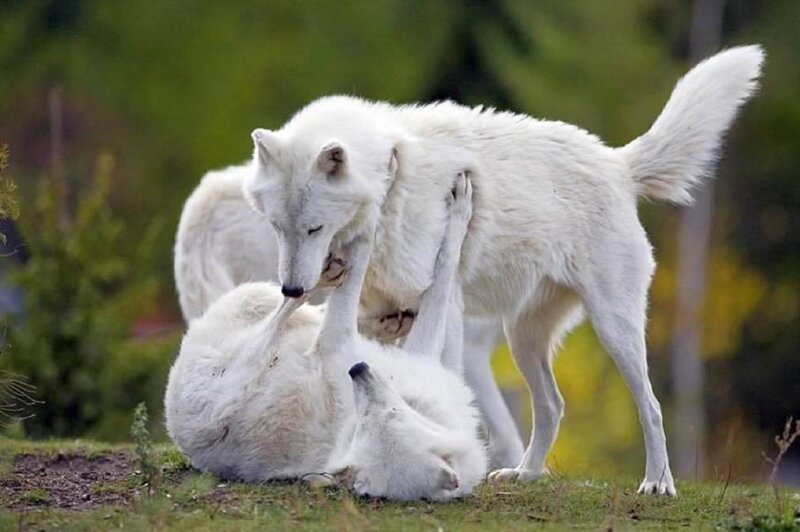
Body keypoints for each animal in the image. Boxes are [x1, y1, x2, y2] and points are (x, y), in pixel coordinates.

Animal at [242, 46, 765, 495]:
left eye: (314, 228)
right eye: (277, 226)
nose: (292, 289)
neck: (394, 173)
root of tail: (617, 162)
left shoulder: (443, 305)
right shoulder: (381, 317)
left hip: (614, 331)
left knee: (651, 408)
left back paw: (657, 482)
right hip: (524, 339)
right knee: (553, 407)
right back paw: (525, 474)